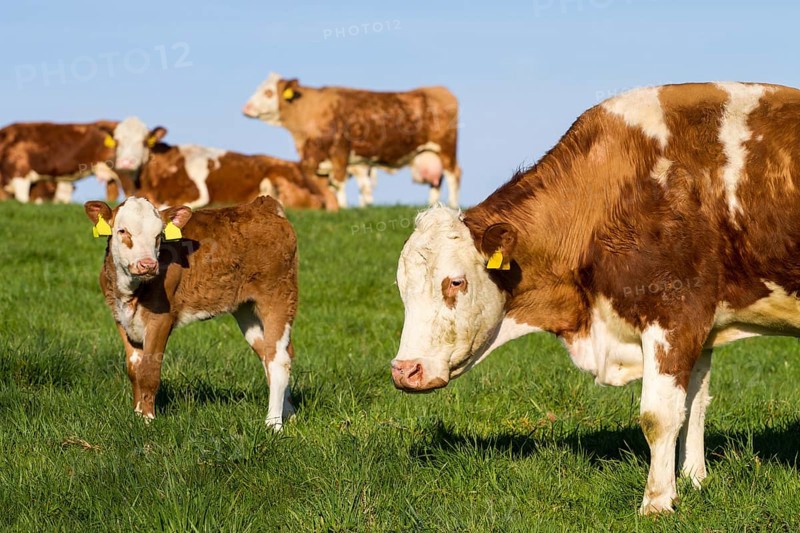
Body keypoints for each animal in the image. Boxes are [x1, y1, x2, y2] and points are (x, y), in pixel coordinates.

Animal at [84, 195, 298, 428]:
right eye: (122, 230)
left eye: (159, 235)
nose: (147, 264)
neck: (131, 291)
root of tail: (261, 205)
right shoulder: (121, 319)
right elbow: (134, 371)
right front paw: (137, 415)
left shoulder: (161, 319)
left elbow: (148, 372)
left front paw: (148, 421)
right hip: (246, 309)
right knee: (270, 354)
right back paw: (289, 413)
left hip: (278, 295)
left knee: (279, 360)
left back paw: (273, 424)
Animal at [242, 73, 461, 209]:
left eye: (268, 92)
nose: (246, 108)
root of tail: (439, 89)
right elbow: (331, 186)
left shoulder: (340, 149)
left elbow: (339, 182)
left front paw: (343, 206)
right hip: (429, 153)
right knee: (436, 181)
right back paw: (432, 205)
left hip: (446, 147)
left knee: (453, 174)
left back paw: (452, 204)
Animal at [390, 82, 800, 514]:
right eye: (402, 288)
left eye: (455, 282)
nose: (405, 370)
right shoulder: (701, 324)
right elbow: (694, 406)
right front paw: (693, 480)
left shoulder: (674, 314)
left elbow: (659, 416)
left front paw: (657, 503)